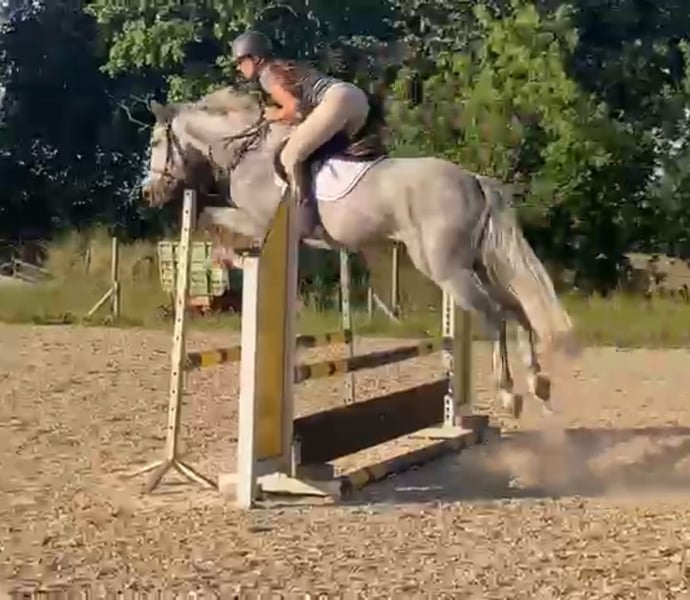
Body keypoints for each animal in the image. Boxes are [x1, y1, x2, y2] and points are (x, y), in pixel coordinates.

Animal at [141, 86, 579, 417]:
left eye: (156, 142)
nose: (149, 193)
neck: (247, 153)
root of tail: (473, 178)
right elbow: (211, 217)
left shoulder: (259, 219)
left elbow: (212, 217)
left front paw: (227, 258)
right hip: (478, 264)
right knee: (517, 309)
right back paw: (538, 382)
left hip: (446, 269)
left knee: (495, 314)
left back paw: (509, 393)